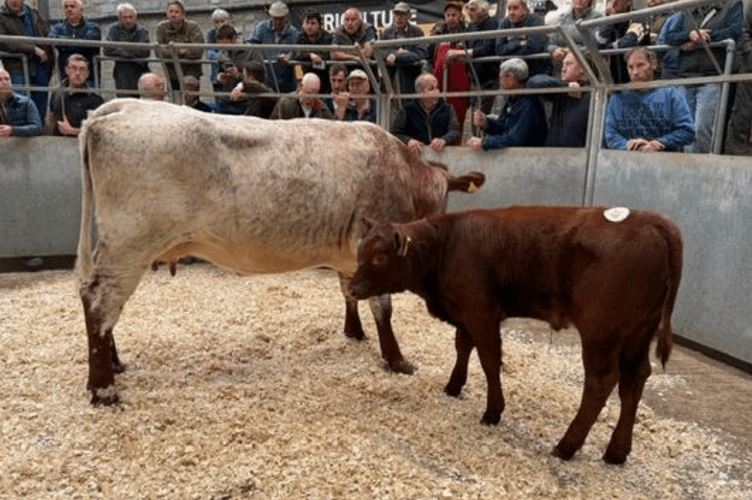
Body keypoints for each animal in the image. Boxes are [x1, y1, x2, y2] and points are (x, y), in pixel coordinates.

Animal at [76, 99, 485, 407]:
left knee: (100, 303)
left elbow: (349, 290)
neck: (404, 174)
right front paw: (397, 359)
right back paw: (103, 388)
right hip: (130, 243)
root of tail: (120, 106)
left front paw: (354, 333)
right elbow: (382, 307)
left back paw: (114, 364)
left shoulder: (352, 251)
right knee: (100, 301)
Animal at [349, 206, 683, 464]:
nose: (351, 288)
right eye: (360, 251)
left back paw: (566, 446)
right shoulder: (465, 313)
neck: (446, 243)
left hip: (601, 332)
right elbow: (463, 346)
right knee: (633, 380)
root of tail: (651, 219)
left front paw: (493, 411)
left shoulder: (481, 311)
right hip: (638, 333)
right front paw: (453, 386)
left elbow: (489, 359)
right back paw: (616, 451)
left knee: (601, 382)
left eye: (379, 257)